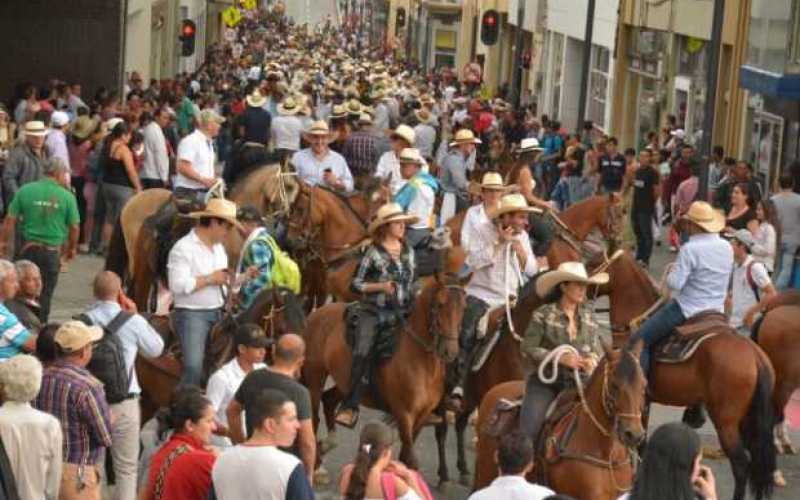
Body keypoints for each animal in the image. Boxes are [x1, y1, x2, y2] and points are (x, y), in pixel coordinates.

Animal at [300, 274, 466, 468]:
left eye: (464, 307)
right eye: (440, 304)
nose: (451, 352)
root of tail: (316, 314)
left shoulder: (421, 417)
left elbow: (405, 457)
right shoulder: (404, 415)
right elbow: (410, 459)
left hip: (345, 383)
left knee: (328, 401)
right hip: (315, 377)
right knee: (313, 418)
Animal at [472, 344, 648, 500]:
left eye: (644, 384)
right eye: (614, 385)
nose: (634, 434)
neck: (605, 455)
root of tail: (494, 390)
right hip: (486, 473)